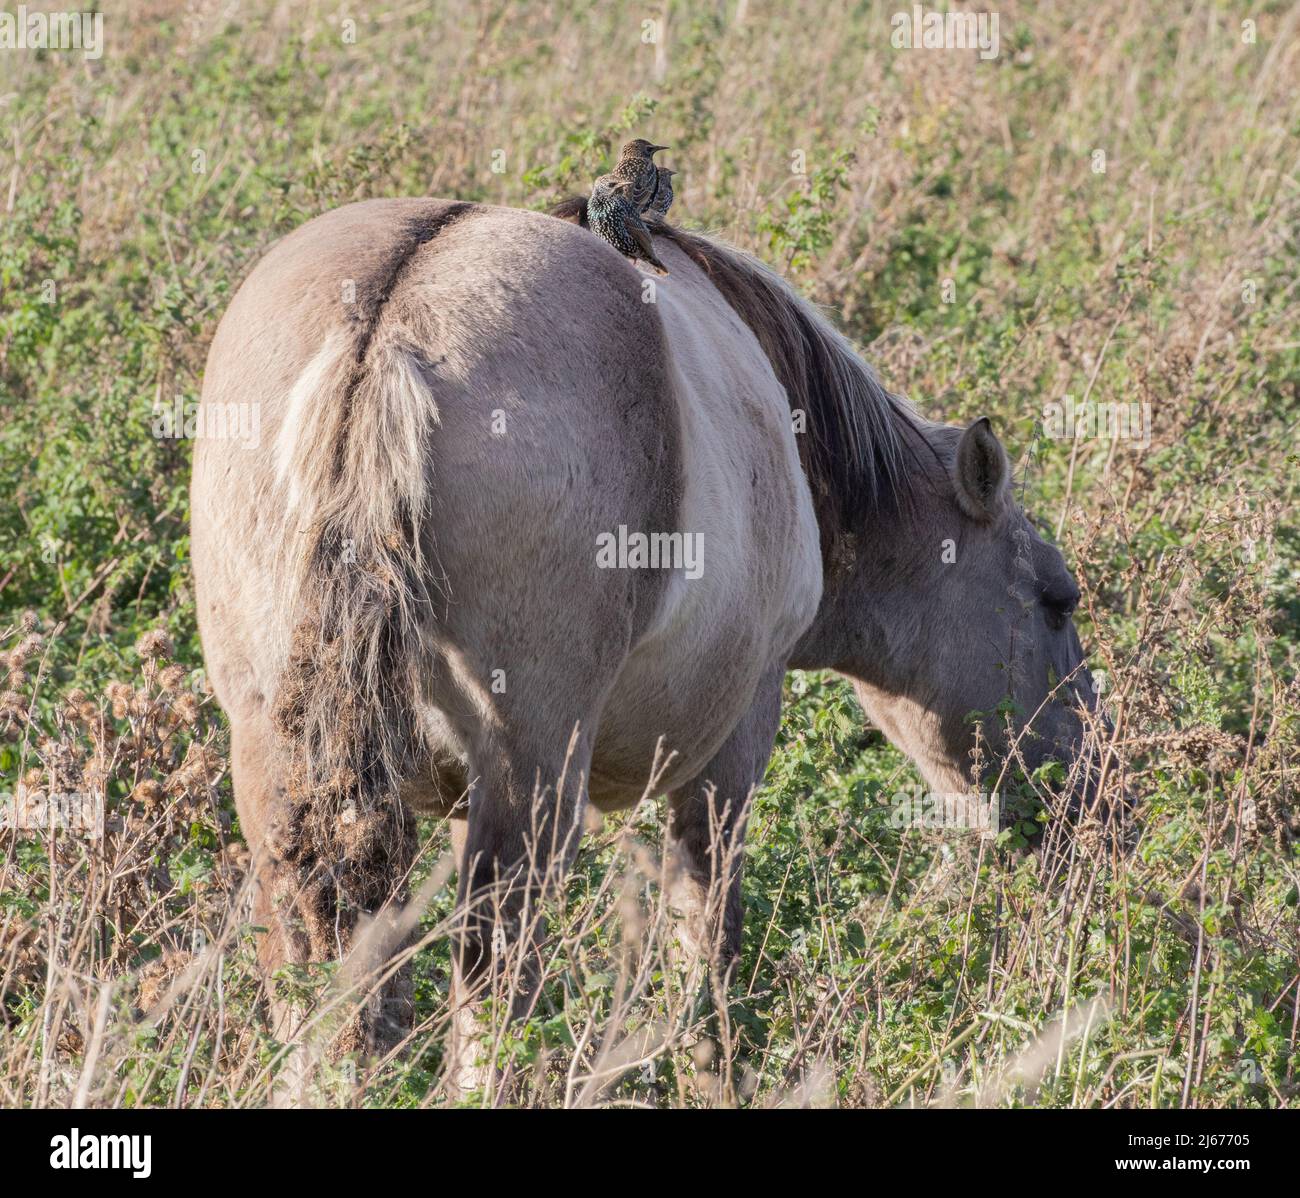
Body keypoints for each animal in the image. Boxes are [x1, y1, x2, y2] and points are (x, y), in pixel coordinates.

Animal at [190, 195, 1098, 1091]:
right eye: (1058, 601)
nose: (1092, 803)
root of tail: (386, 334)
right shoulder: (729, 747)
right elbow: (708, 937)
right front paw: (714, 1073)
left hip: (288, 771)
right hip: (534, 777)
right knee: (495, 979)